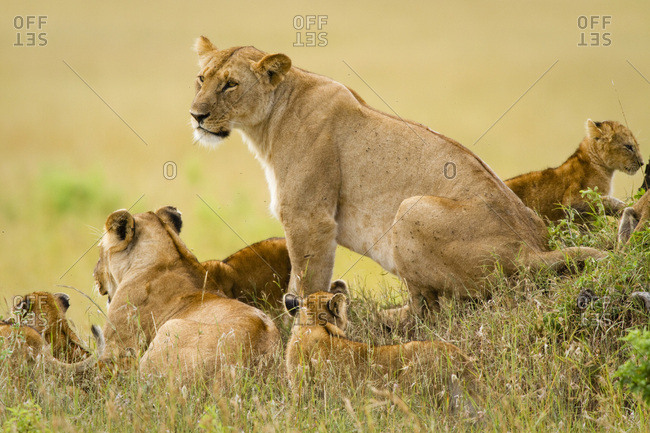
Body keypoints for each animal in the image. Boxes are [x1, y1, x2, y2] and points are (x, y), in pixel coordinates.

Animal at [189, 37, 604, 318]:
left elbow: (308, 281)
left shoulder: (309, 217)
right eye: (201, 79)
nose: (196, 115)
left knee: (429, 312)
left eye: (230, 84)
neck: (269, 121)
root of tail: (533, 250)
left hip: (410, 209)